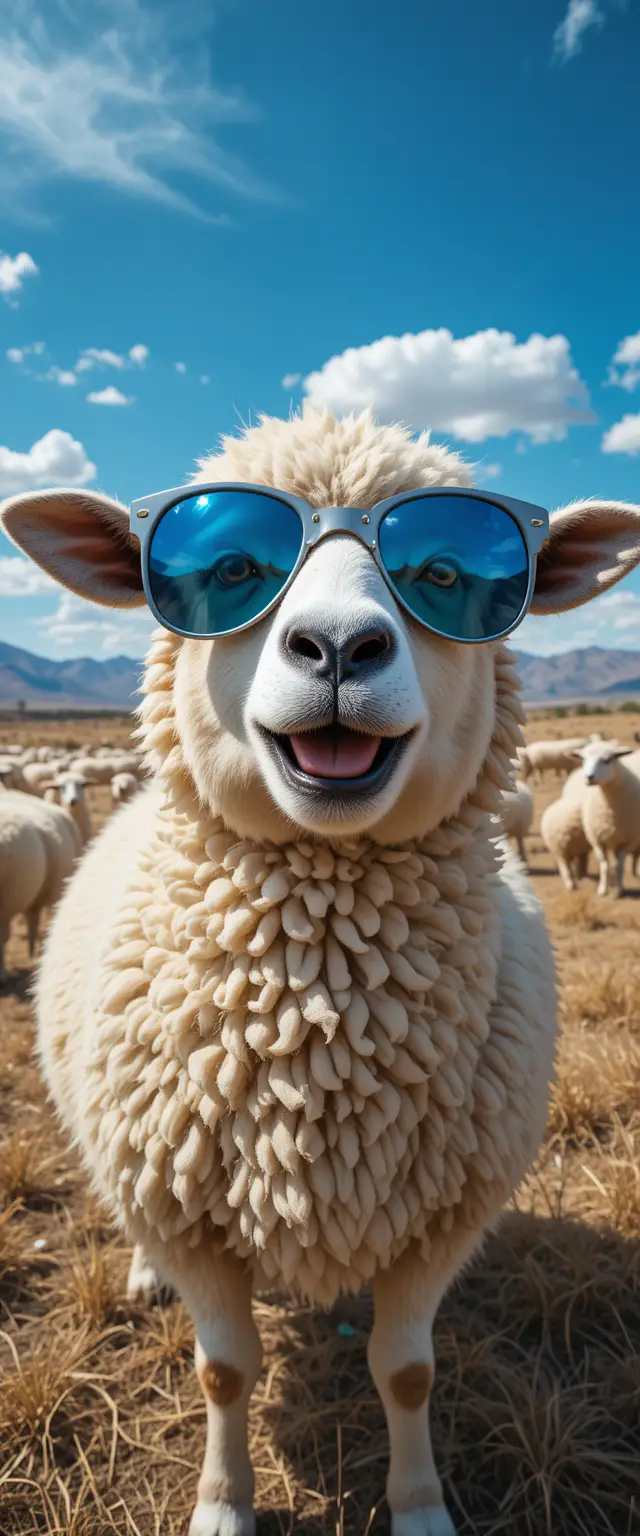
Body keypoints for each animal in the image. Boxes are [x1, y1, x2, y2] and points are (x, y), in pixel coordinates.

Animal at [572, 742, 640, 897]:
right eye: (583, 759)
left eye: (607, 760)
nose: (589, 777)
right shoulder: (596, 839)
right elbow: (604, 864)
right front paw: (602, 889)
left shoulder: (630, 841)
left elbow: (620, 865)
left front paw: (620, 890)